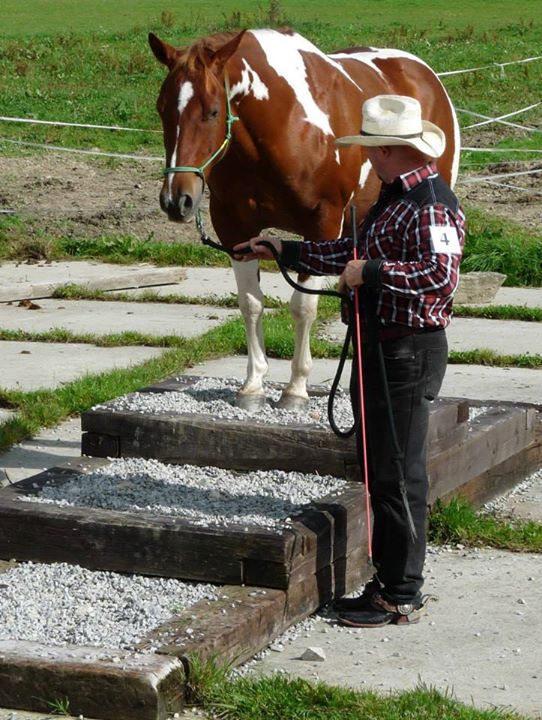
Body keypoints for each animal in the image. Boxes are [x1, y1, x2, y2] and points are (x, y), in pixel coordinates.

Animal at [148, 28, 460, 410]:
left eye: (212, 111)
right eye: (162, 109)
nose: (176, 200)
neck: (283, 127)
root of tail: (421, 72)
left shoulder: (322, 224)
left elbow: (303, 307)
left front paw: (295, 389)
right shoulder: (236, 229)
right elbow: (251, 304)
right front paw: (253, 386)